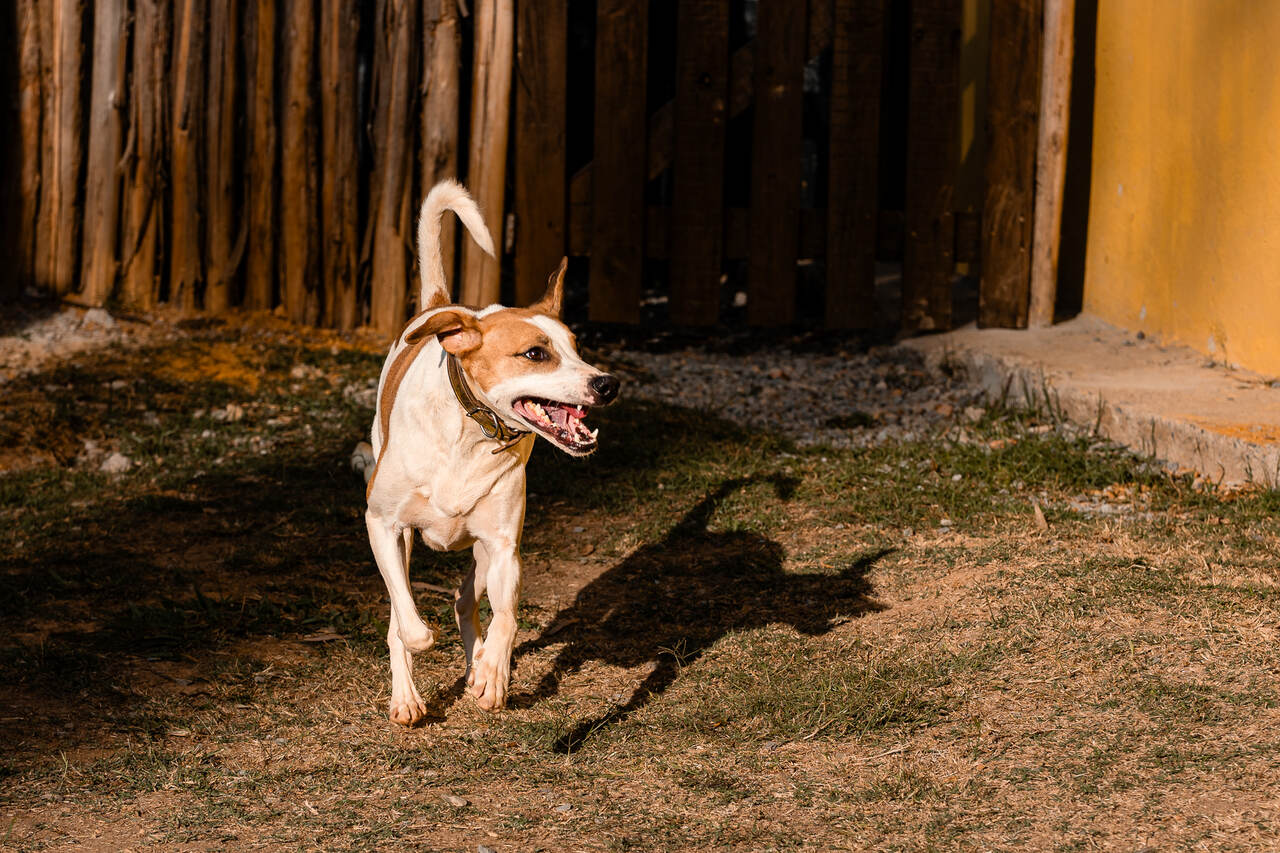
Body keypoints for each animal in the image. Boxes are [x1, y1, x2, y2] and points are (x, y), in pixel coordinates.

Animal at [355, 180, 619, 722]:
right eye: (535, 353)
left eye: (578, 347)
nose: (607, 384)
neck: (469, 436)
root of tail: (441, 306)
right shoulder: (382, 524)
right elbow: (407, 625)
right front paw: (418, 654)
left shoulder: (501, 545)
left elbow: (508, 616)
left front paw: (491, 675)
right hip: (403, 537)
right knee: (402, 607)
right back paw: (407, 696)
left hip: (479, 548)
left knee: (464, 599)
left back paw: (477, 661)